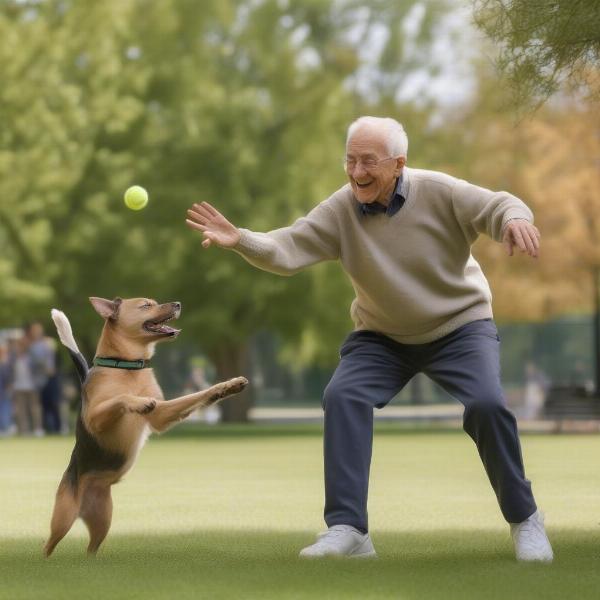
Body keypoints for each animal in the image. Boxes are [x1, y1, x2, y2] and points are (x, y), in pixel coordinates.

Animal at [43, 296, 247, 556]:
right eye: (146, 306)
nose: (178, 303)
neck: (126, 366)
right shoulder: (95, 419)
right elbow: (122, 398)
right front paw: (138, 402)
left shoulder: (161, 414)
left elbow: (199, 394)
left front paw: (228, 386)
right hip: (63, 516)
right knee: (48, 545)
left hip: (103, 520)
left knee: (91, 548)